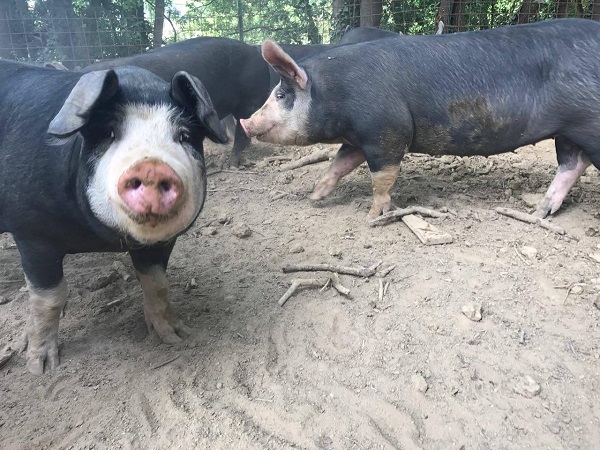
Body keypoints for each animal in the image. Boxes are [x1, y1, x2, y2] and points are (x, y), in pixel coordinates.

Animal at [0, 60, 227, 376]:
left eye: (183, 135)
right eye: (109, 133)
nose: (151, 167)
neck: (96, 238)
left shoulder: (161, 244)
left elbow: (158, 284)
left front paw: (177, 336)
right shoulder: (31, 232)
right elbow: (48, 297)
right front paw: (40, 368)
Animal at [241, 18, 600, 219]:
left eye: (281, 95)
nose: (246, 122)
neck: (336, 94)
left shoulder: (386, 131)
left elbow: (382, 177)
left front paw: (373, 215)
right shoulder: (358, 138)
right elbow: (338, 165)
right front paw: (315, 197)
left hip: (588, 123)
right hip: (568, 131)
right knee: (572, 164)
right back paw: (539, 212)